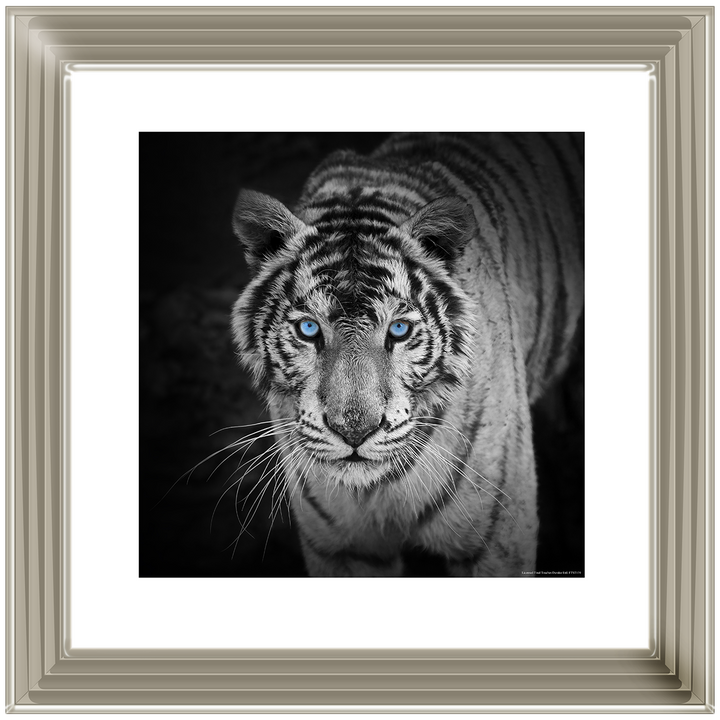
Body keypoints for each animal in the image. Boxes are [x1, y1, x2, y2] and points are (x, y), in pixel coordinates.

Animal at [230, 133, 583, 577]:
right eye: (309, 329)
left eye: (398, 330)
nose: (354, 432)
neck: (376, 490)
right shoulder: (342, 548)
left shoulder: (495, 540)